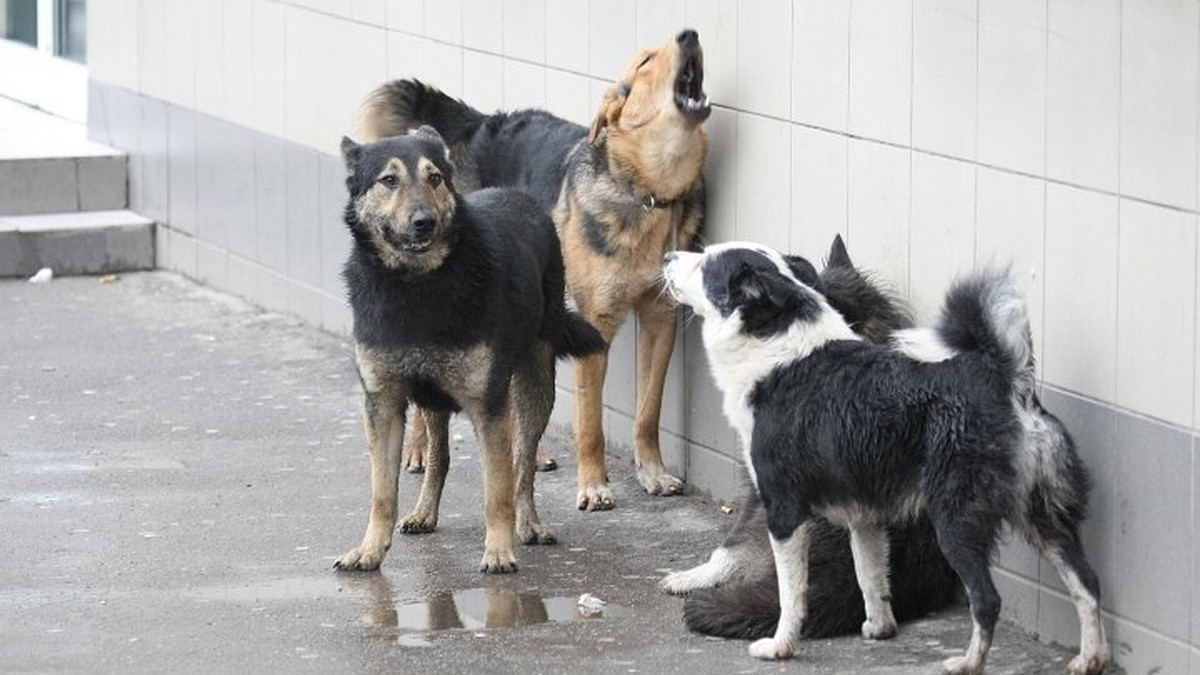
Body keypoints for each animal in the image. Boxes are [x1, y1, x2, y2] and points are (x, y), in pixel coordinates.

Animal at [333, 126, 604, 571]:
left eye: (434, 178)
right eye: (389, 180)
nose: (423, 223)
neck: (417, 286)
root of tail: (518, 194)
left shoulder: (488, 406)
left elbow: (498, 489)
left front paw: (498, 550)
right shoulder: (383, 405)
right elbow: (382, 492)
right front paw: (370, 549)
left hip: (533, 386)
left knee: (522, 464)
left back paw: (529, 523)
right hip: (433, 398)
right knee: (439, 456)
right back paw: (424, 512)